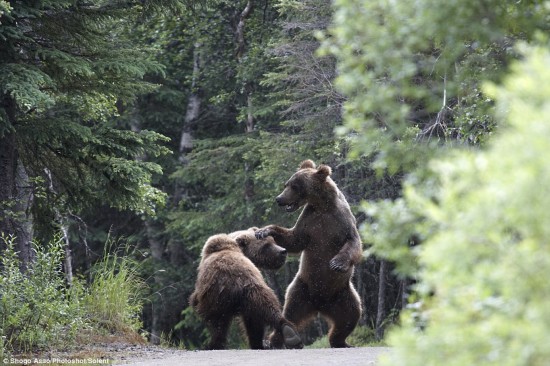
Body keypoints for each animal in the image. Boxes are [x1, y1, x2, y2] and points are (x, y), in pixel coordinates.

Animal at [256, 161, 364, 348]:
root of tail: (320, 305)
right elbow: (294, 239)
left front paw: (337, 263)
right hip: (301, 290)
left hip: (342, 295)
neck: (323, 206)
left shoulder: (341, 221)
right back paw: (275, 341)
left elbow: (353, 244)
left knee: (350, 317)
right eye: (286, 184)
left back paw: (341, 341)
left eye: (294, 186)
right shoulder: (309, 222)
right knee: (290, 314)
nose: (279, 199)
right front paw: (263, 231)